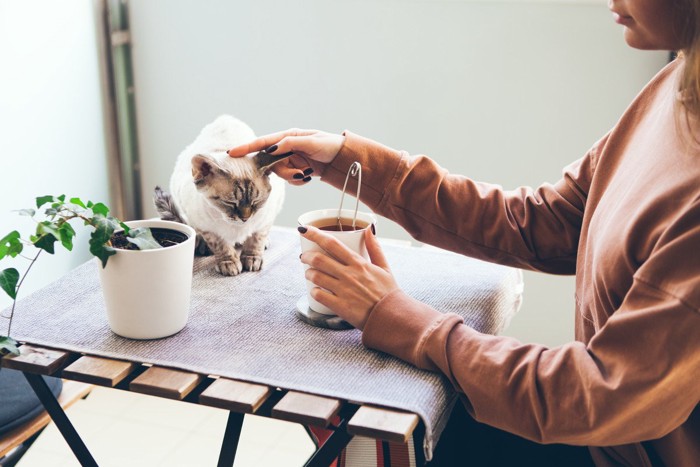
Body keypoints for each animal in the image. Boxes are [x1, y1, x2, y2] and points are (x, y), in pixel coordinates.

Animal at [155, 114, 290, 274]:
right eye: (230, 203)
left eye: (256, 202)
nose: (245, 218)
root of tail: (225, 117)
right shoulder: (207, 229)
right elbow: (221, 246)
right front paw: (229, 263)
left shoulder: (265, 220)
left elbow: (256, 240)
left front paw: (251, 259)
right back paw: (203, 246)